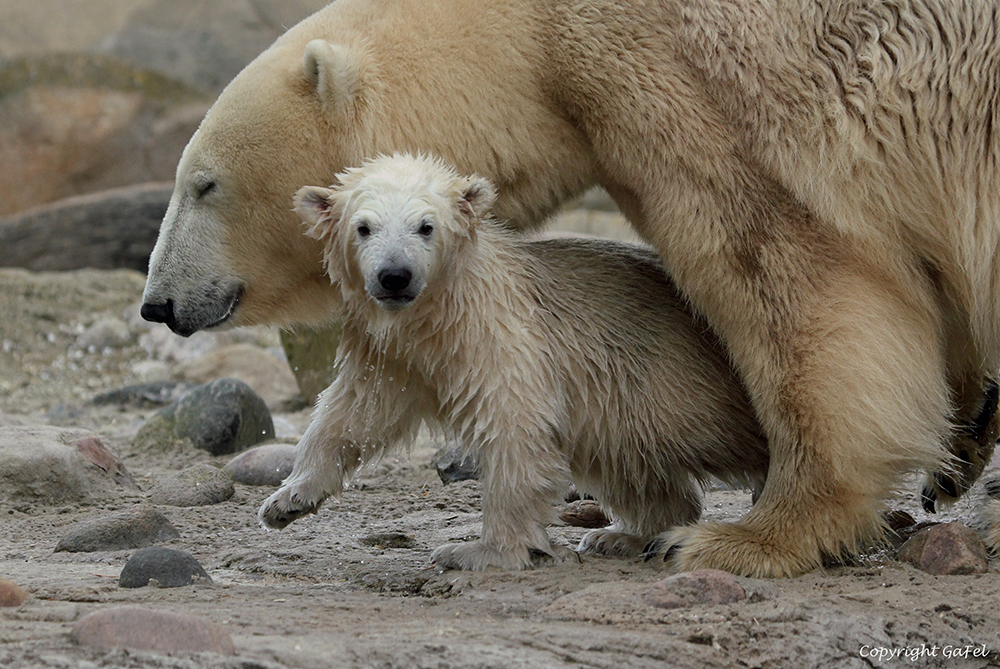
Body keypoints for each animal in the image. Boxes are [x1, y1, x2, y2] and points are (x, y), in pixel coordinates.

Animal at [145, 0, 1000, 576]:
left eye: (203, 182)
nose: (159, 301)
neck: (537, 32)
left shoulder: (703, 82)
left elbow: (794, 273)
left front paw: (751, 535)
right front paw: (961, 440)